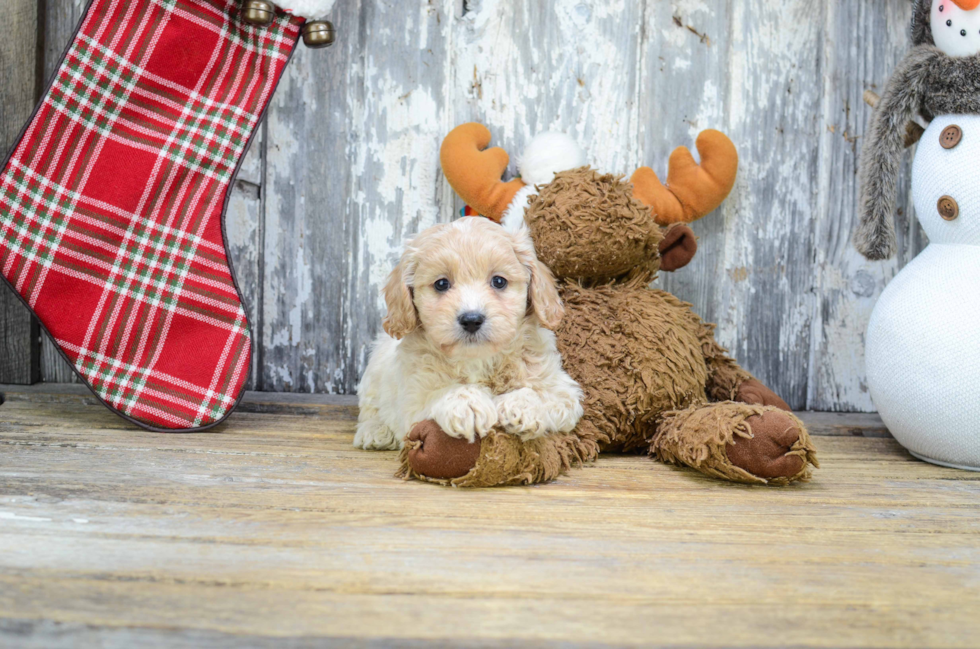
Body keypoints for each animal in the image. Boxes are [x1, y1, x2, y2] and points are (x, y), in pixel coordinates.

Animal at [354, 215, 580, 448]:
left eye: (499, 281)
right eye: (441, 284)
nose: (471, 320)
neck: (478, 359)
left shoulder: (564, 392)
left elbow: (542, 394)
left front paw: (520, 406)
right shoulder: (412, 400)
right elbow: (440, 393)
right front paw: (467, 405)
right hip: (372, 377)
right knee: (370, 410)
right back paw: (375, 431)